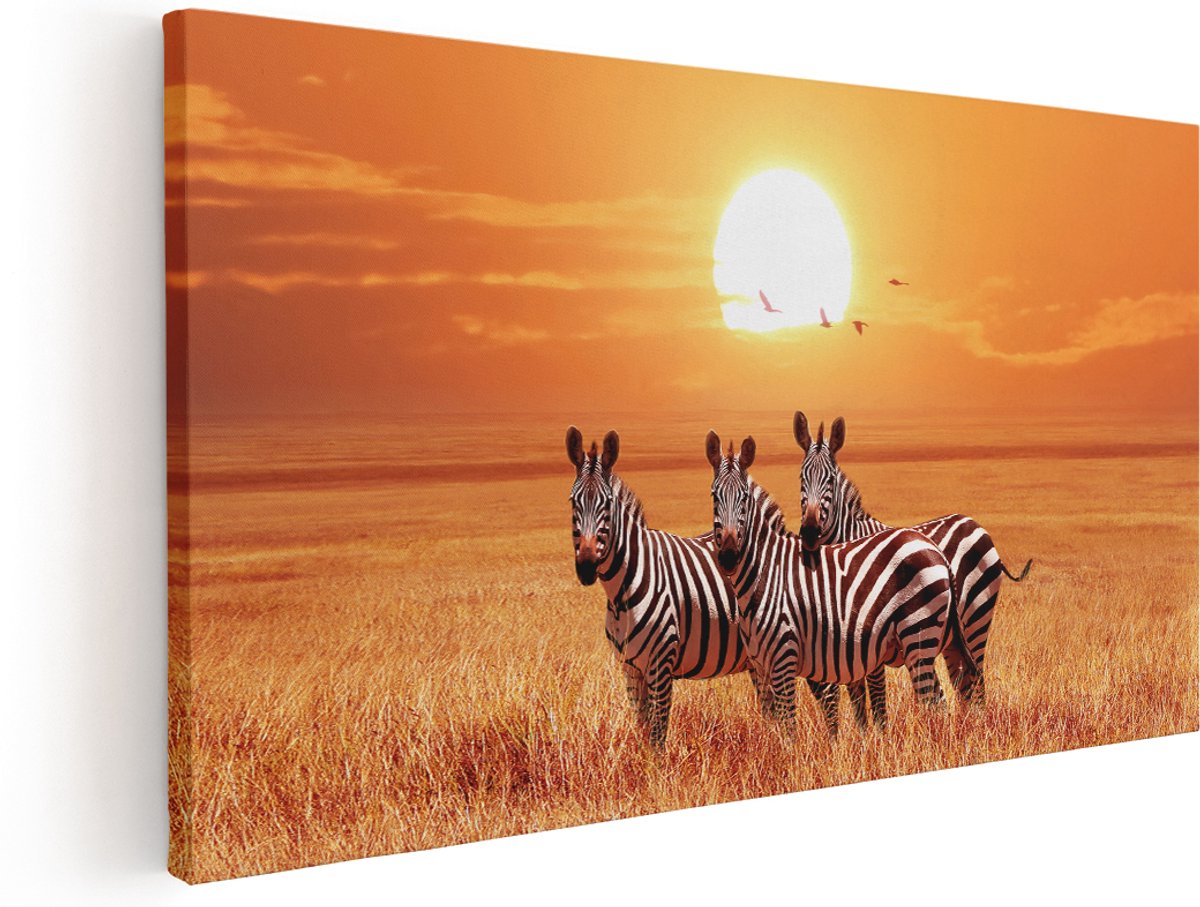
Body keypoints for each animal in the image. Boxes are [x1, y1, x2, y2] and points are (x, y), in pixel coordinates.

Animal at [567, 426, 750, 748]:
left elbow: (657, 733)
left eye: (608, 504)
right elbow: (642, 727)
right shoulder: (630, 668)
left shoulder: (661, 665)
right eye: (572, 502)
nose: (587, 566)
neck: (621, 592)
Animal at [706, 430, 964, 737]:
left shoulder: (784, 656)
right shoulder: (762, 664)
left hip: (918, 633)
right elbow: (773, 724)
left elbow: (789, 726)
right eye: (714, 496)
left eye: (744, 498)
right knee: (938, 699)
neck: (763, 572)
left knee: (930, 700)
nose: (728, 556)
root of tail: (934, 547)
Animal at [794, 410, 1032, 719]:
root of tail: (973, 523)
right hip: (952, 639)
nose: (810, 531)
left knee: (976, 682)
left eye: (831, 480)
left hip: (976, 619)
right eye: (801, 477)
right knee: (963, 685)